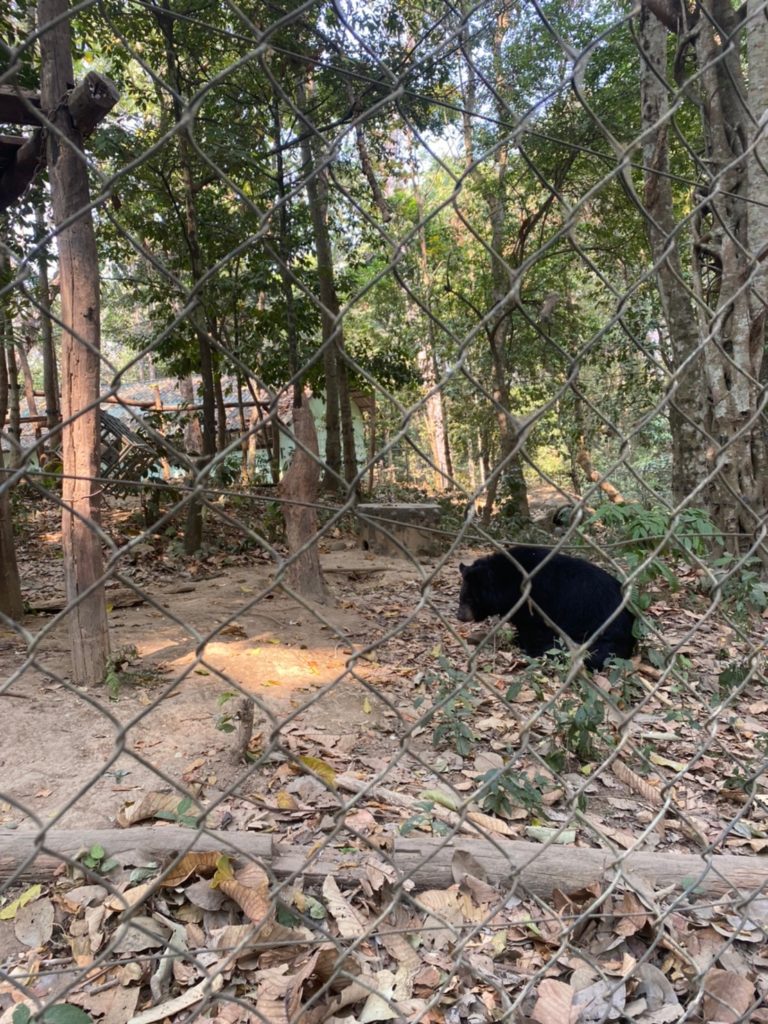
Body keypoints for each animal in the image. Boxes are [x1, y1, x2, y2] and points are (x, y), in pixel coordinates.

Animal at [460, 544, 634, 671]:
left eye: (469, 598)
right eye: (462, 596)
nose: (459, 615)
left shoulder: (538, 602)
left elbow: (534, 630)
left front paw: (528, 648)